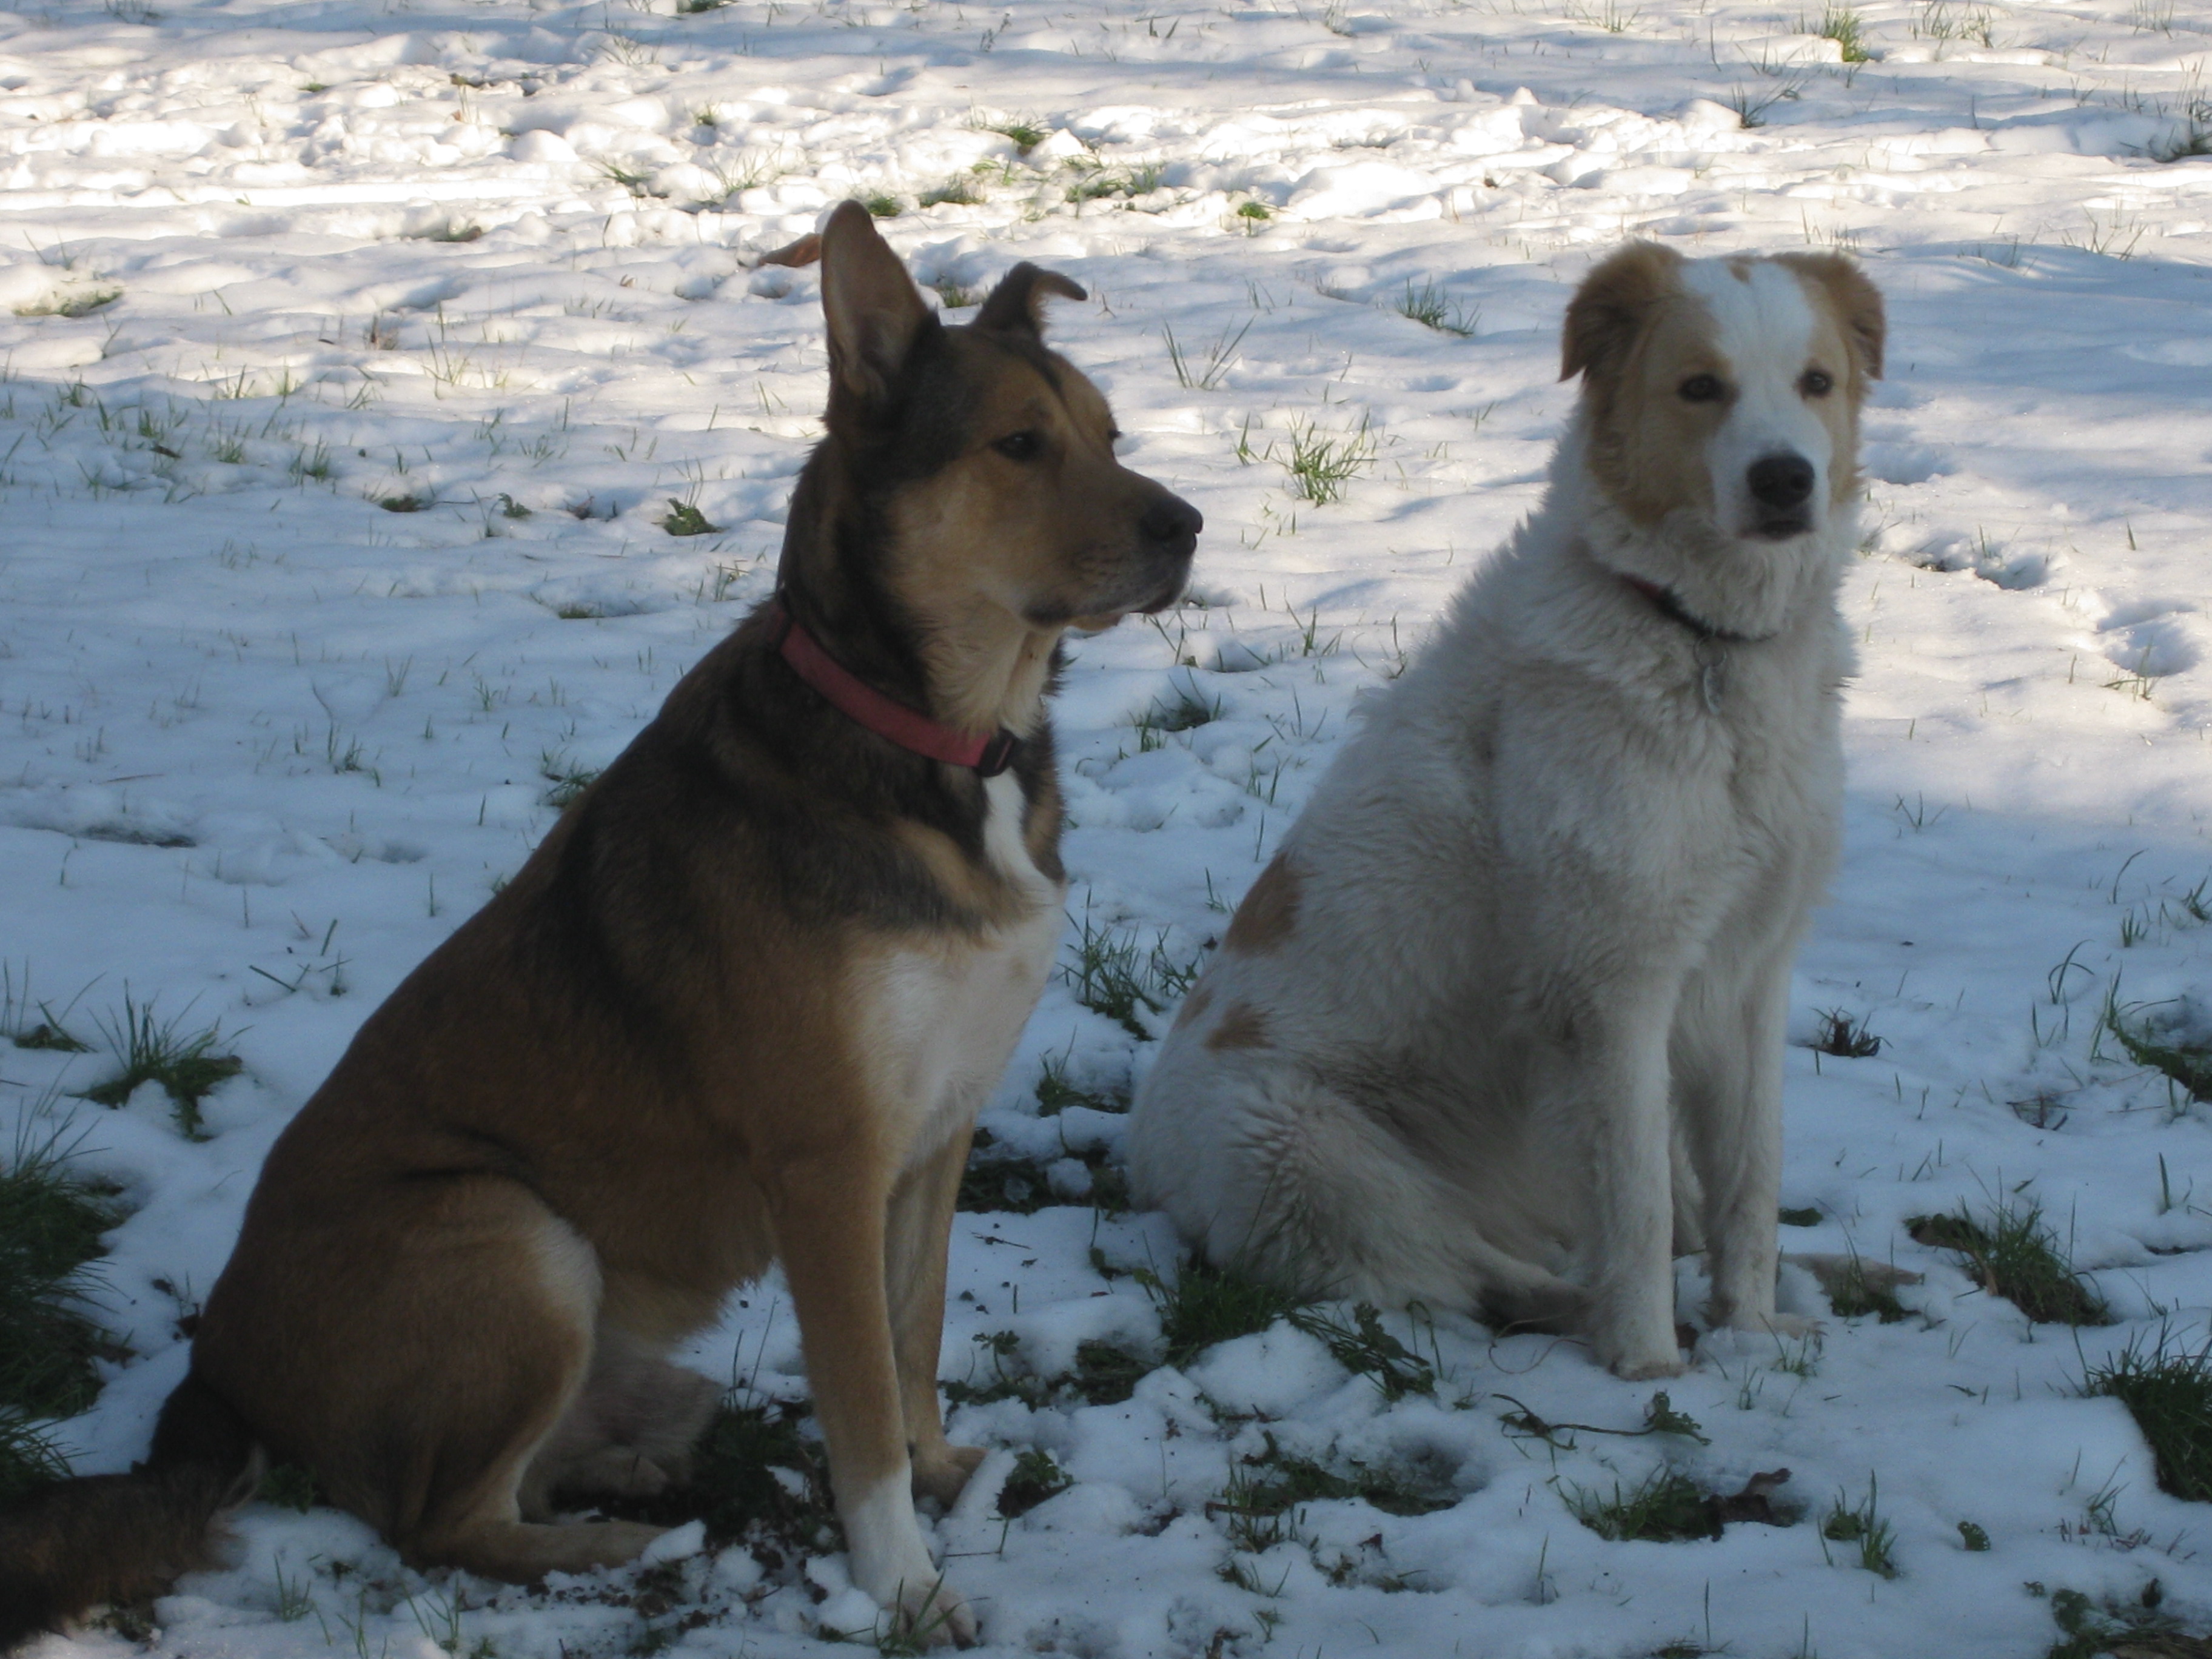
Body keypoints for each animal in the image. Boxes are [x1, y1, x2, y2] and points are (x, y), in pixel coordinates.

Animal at [0, 204, 1203, 1654]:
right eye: (1019, 445)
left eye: (1110, 431)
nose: (1191, 528)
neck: (935, 743)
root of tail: (217, 1380)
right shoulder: (827, 1164)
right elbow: (860, 1405)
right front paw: (902, 1584)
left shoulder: (937, 1134)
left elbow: (912, 1342)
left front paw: (942, 1473)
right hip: (509, 1234)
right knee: (433, 1524)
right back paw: (624, 1545)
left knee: (507, 1482)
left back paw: (623, 1473)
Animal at [1124, 243, 1885, 1380]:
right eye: (1699, 387)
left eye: (1815, 383)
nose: (1785, 479)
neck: (1697, 643)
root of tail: (1148, 1161)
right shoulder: (1608, 991)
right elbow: (1635, 1211)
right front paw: (1652, 1368)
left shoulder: (1750, 972)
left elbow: (1748, 1188)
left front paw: (1748, 1336)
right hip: (1313, 1152)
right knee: (1473, 1273)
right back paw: (1589, 1313)